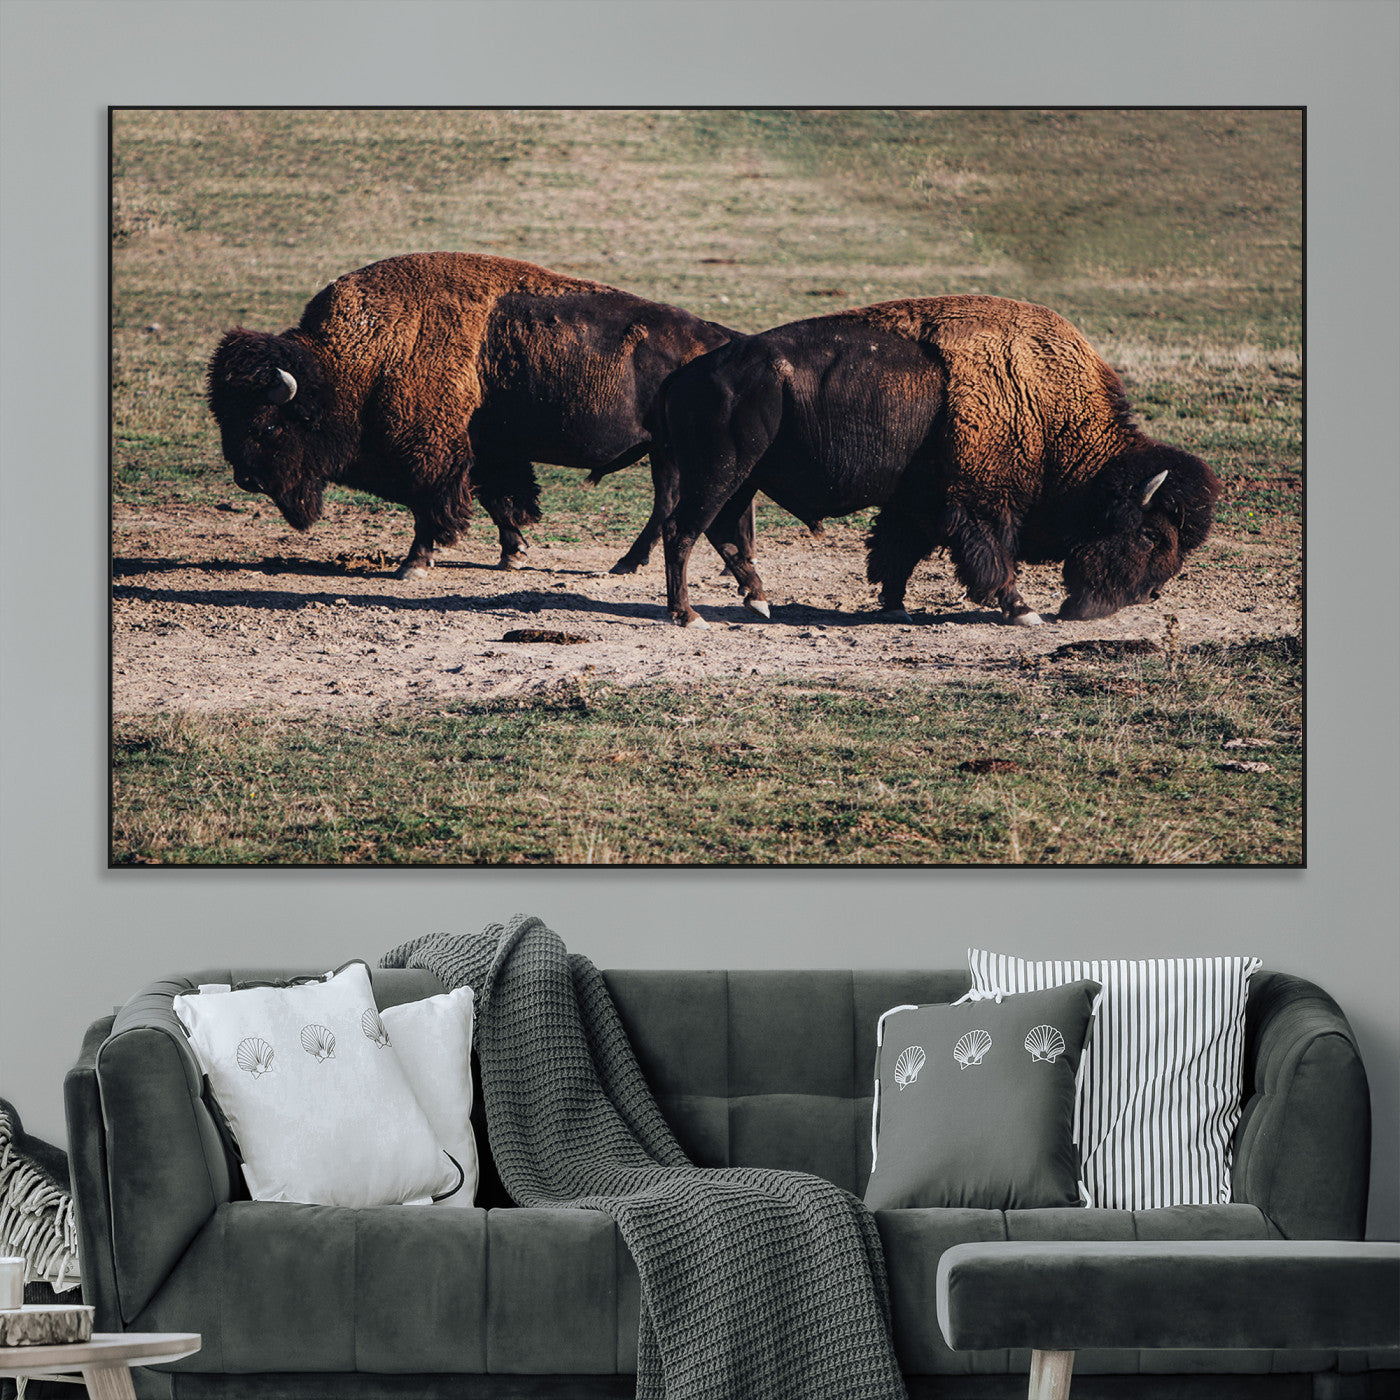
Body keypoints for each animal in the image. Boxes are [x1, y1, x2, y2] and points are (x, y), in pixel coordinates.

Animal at [207, 252, 737, 577]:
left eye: (268, 425)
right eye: (224, 417)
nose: (247, 480)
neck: (358, 361)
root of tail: (720, 338)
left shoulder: (432, 456)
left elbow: (432, 507)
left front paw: (413, 564)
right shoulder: (485, 452)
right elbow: (498, 500)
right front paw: (513, 555)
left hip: (668, 452)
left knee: (665, 503)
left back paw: (626, 563)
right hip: (663, 453)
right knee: (667, 502)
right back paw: (629, 562)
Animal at [655, 295, 1222, 628]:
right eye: (1149, 535)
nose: (1147, 595)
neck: (1046, 409)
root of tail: (686, 374)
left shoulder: (919, 504)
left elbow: (897, 551)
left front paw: (894, 606)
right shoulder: (981, 504)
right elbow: (993, 557)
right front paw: (1024, 611)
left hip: (743, 479)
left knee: (723, 533)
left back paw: (758, 601)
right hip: (720, 473)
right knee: (683, 532)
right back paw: (688, 615)